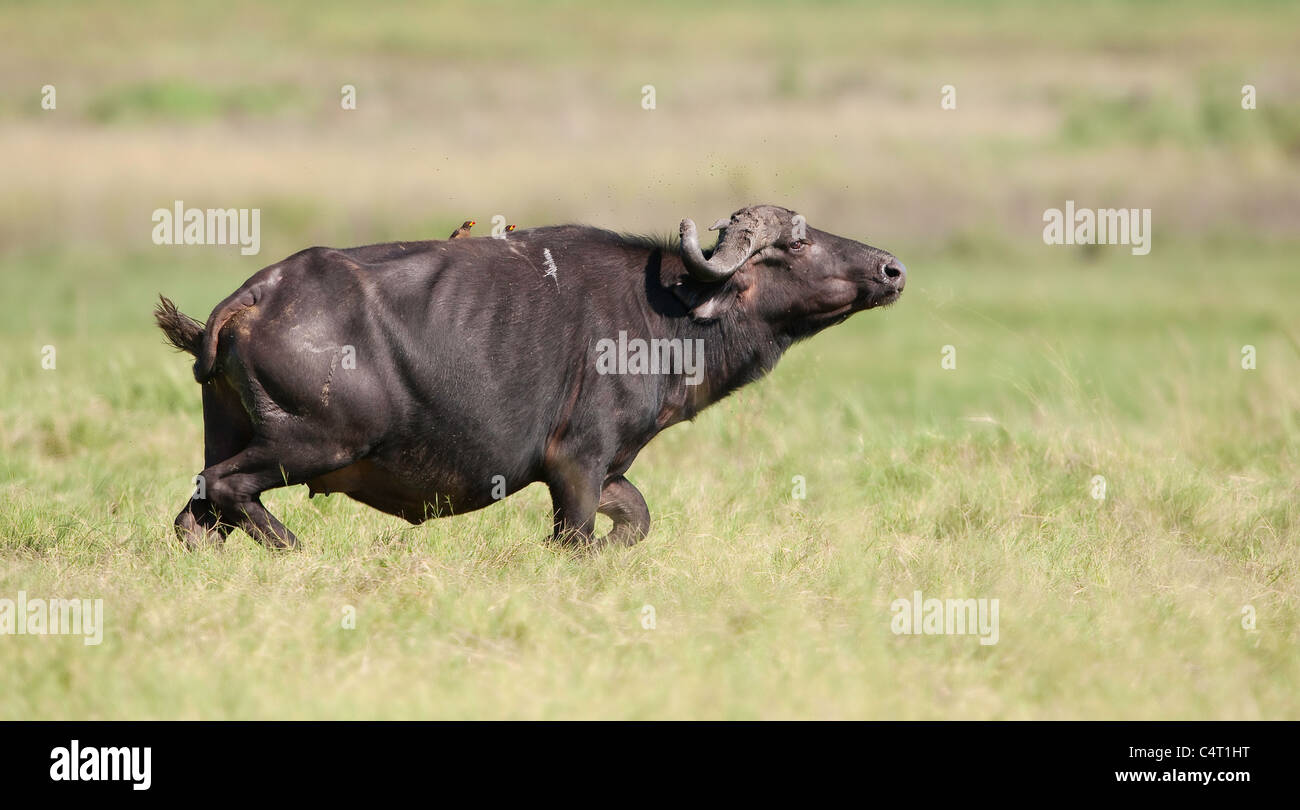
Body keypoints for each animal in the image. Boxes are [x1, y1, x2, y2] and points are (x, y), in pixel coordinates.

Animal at [154, 204, 905, 551]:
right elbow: (576, 541)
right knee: (228, 491)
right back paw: (298, 551)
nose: (892, 268)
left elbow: (636, 521)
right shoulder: (576, 466)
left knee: (195, 517)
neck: (663, 312)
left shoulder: (608, 471)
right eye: (798, 243)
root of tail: (253, 297)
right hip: (313, 444)